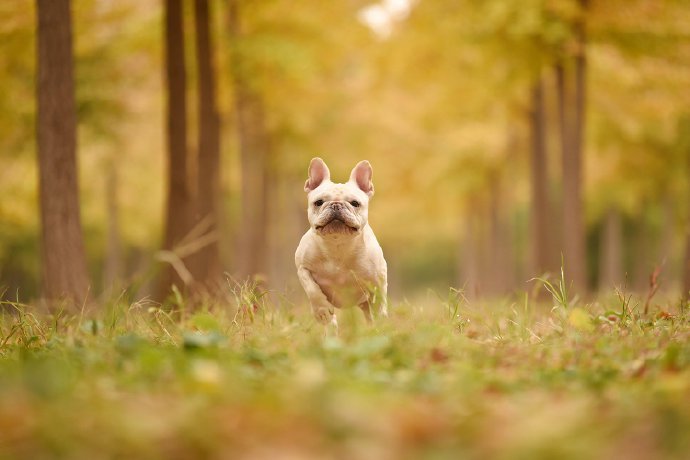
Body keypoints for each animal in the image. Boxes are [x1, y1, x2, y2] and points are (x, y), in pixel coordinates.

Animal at [292, 158, 384, 328]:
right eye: (318, 202)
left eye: (355, 203)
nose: (336, 205)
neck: (337, 244)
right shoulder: (302, 268)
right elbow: (311, 288)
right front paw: (321, 310)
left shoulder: (378, 278)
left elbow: (379, 299)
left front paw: (381, 315)